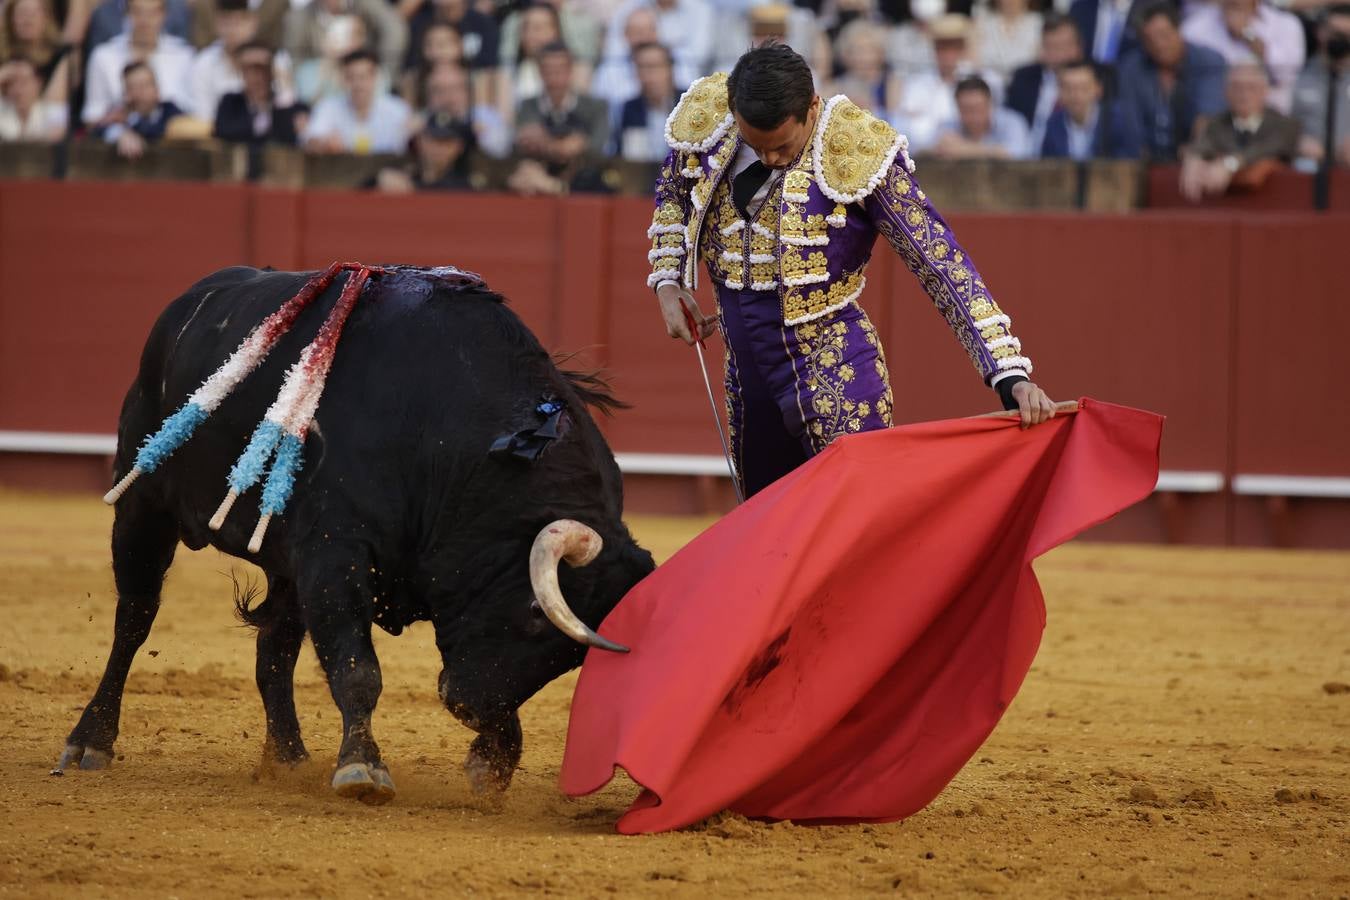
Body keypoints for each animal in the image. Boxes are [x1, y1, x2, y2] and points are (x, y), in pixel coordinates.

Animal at [55, 264, 656, 804]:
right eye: (535, 614)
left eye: (572, 657)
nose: (466, 704)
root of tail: (188, 302)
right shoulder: (335, 554)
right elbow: (357, 668)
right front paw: (363, 769)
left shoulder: (324, 564)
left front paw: (491, 765)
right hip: (141, 507)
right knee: (134, 620)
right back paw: (90, 742)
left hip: (283, 564)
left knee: (273, 649)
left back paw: (288, 758)